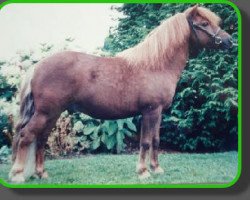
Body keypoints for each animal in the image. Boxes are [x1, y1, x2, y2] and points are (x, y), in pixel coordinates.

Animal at [9, 5, 232, 182]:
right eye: (204, 23)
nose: (229, 41)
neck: (156, 65)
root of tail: (37, 66)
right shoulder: (150, 111)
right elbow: (146, 141)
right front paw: (143, 172)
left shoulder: (158, 112)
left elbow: (156, 140)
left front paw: (157, 169)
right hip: (46, 113)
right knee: (26, 135)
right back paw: (18, 174)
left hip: (52, 114)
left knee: (41, 139)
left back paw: (41, 173)